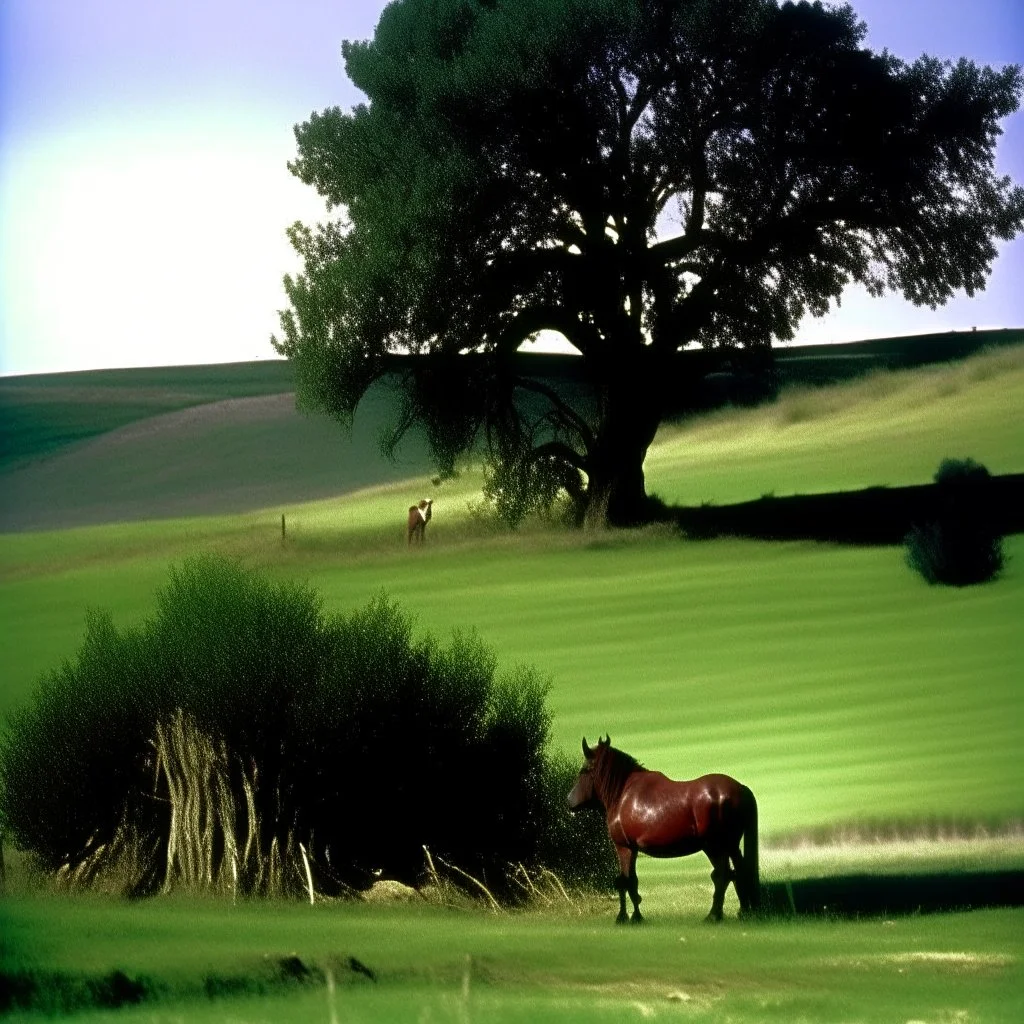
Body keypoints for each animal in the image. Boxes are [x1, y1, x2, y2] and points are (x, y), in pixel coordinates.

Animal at [569, 733, 761, 925]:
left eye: (583, 770)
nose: (569, 800)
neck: (622, 794)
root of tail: (740, 788)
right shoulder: (633, 849)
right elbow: (633, 880)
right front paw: (636, 916)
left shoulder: (624, 847)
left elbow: (624, 881)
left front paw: (624, 917)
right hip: (730, 846)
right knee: (738, 872)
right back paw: (743, 911)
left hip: (714, 847)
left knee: (723, 875)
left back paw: (713, 915)